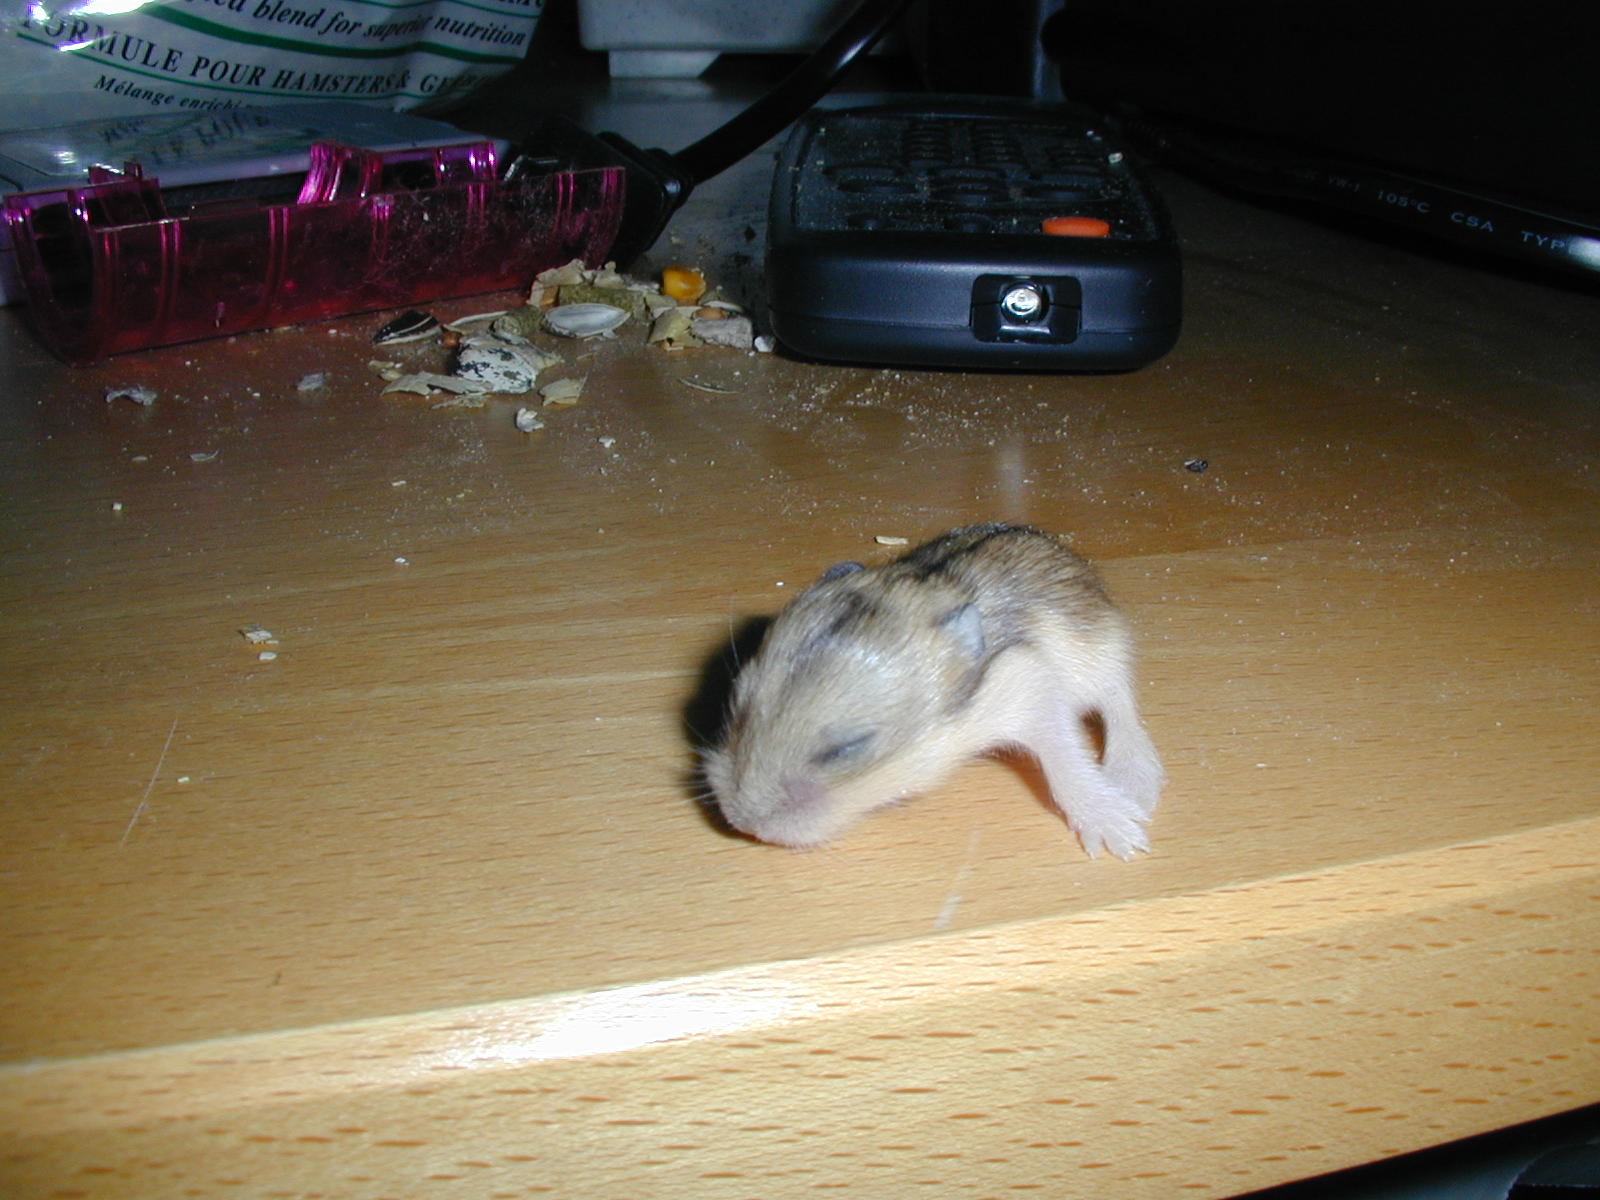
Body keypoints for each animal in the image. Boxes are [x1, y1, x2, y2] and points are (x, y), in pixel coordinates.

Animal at [703, 523, 1163, 859]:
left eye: (847, 748)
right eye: (737, 706)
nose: (743, 825)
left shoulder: (1028, 685)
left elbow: (1064, 758)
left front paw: (1122, 841)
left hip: (1105, 654)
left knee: (1119, 706)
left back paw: (1134, 792)